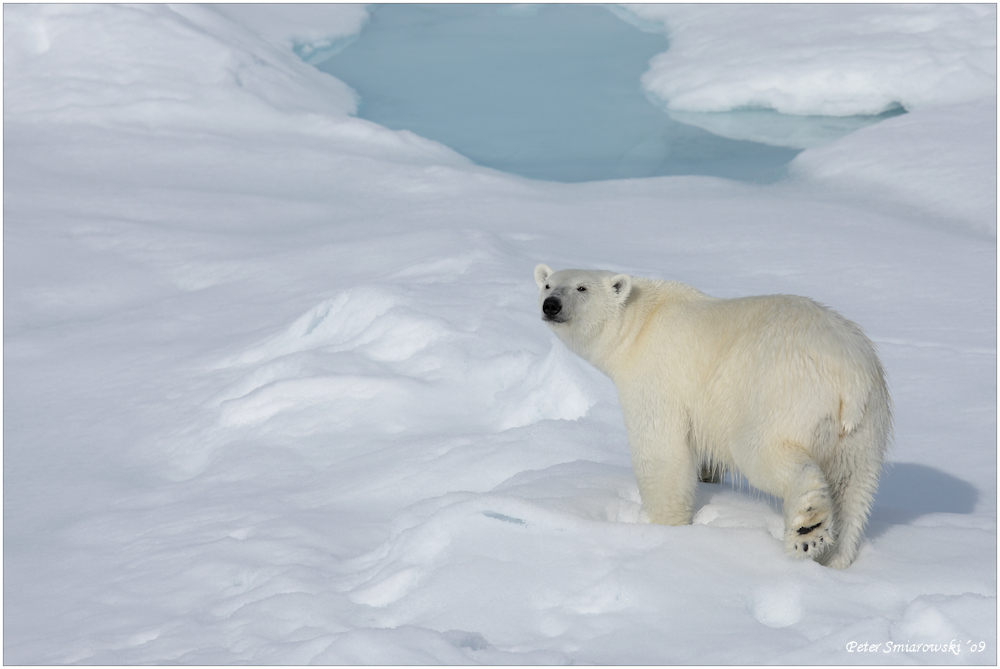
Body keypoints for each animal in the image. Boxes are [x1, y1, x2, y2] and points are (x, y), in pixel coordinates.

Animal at [536, 264, 896, 568]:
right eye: (548, 285)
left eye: (582, 287)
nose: (550, 305)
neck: (641, 322)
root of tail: (850, 377)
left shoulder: (658, 377)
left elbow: (661, 451)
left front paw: (665, 525)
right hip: (865, 425)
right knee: (853, 487)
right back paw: (833, 558)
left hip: (781, 395)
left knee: (764, 453)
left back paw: (807, 530)